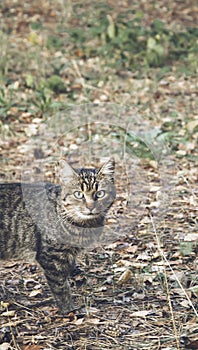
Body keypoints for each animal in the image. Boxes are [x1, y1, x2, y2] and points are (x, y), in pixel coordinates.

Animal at [0, 158, 115, 312]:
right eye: (79, 194)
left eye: (100, 193)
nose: (91, 207)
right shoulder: (51, 257)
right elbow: (60, 286)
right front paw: (68, 309)